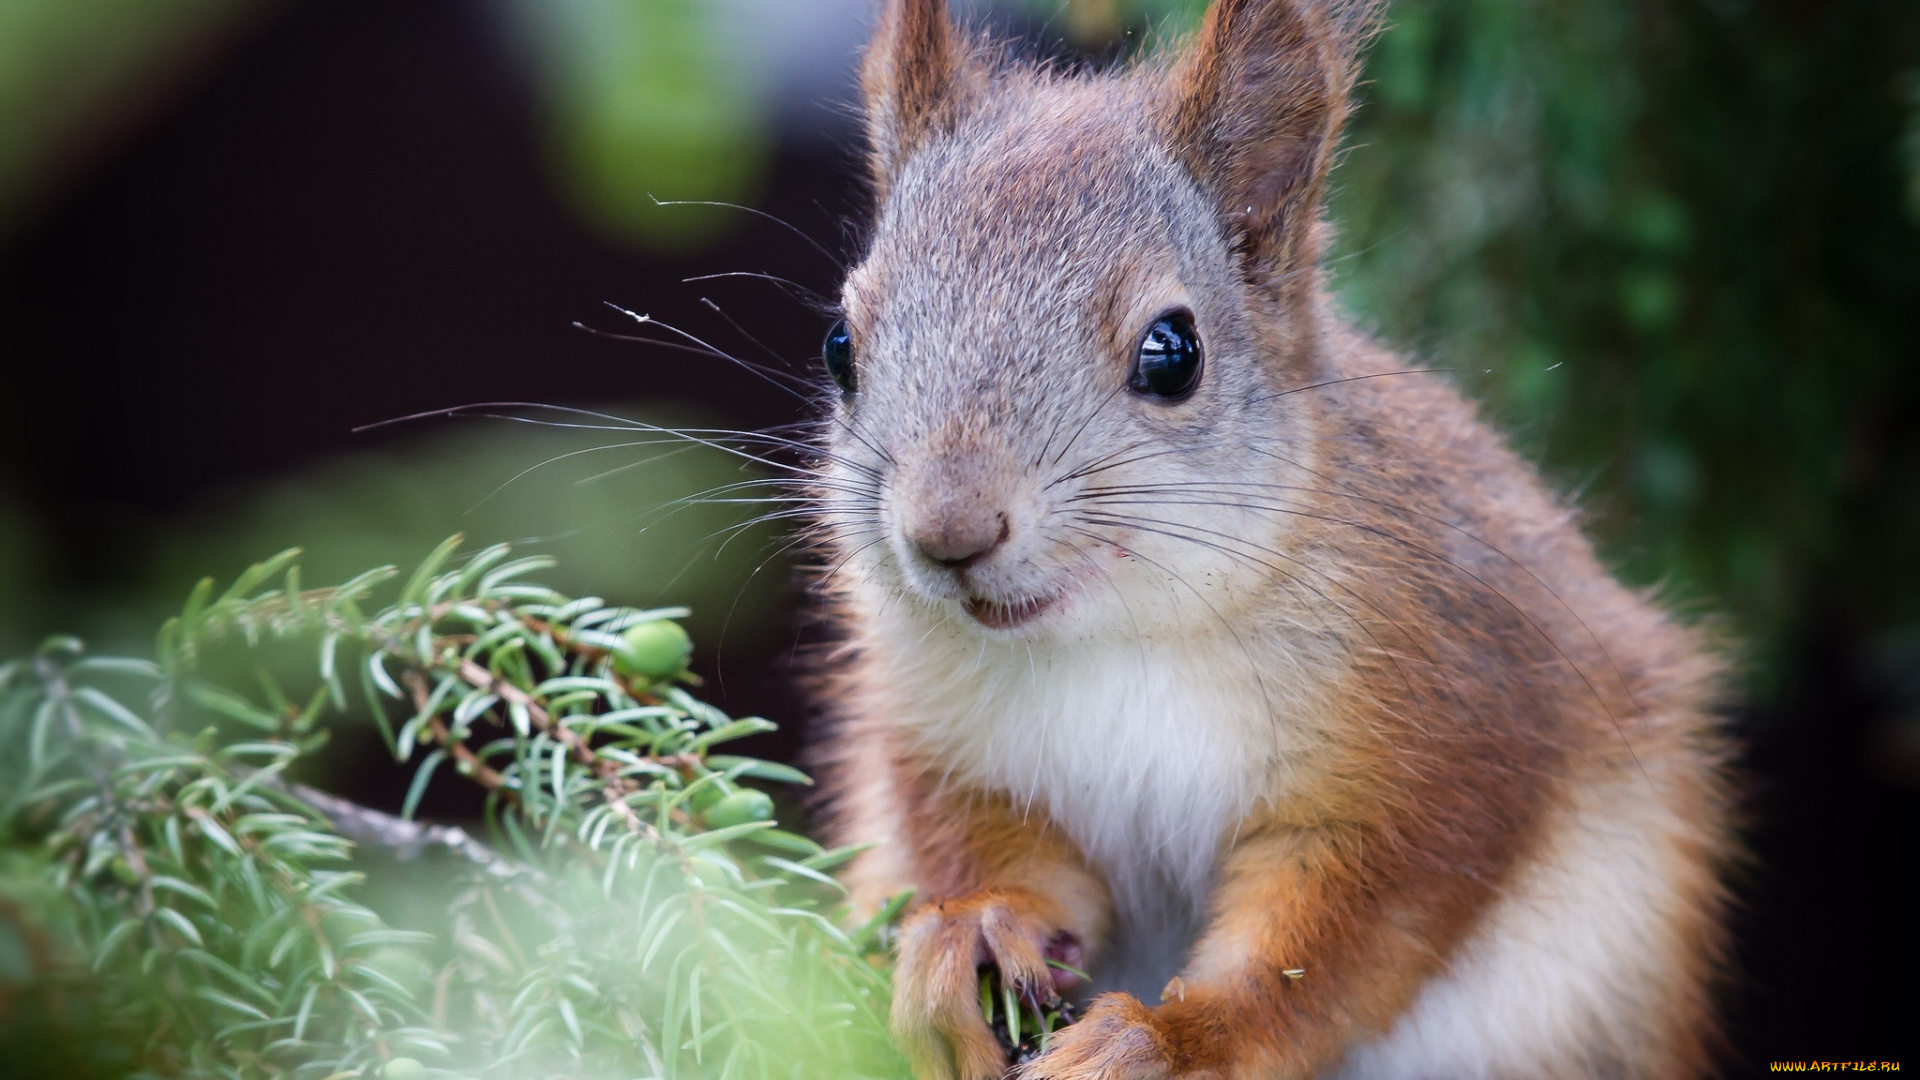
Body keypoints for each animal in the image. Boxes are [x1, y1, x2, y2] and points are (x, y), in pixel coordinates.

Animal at [810, 2, 1743, 1076]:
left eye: (1172, 353)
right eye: (841, 346)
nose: (948, 531)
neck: (1123, 633)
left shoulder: (1444, 743)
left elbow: (1331, 947)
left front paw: (1167, 1041)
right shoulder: (946, 744)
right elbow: (993, 853)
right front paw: (974, 933)